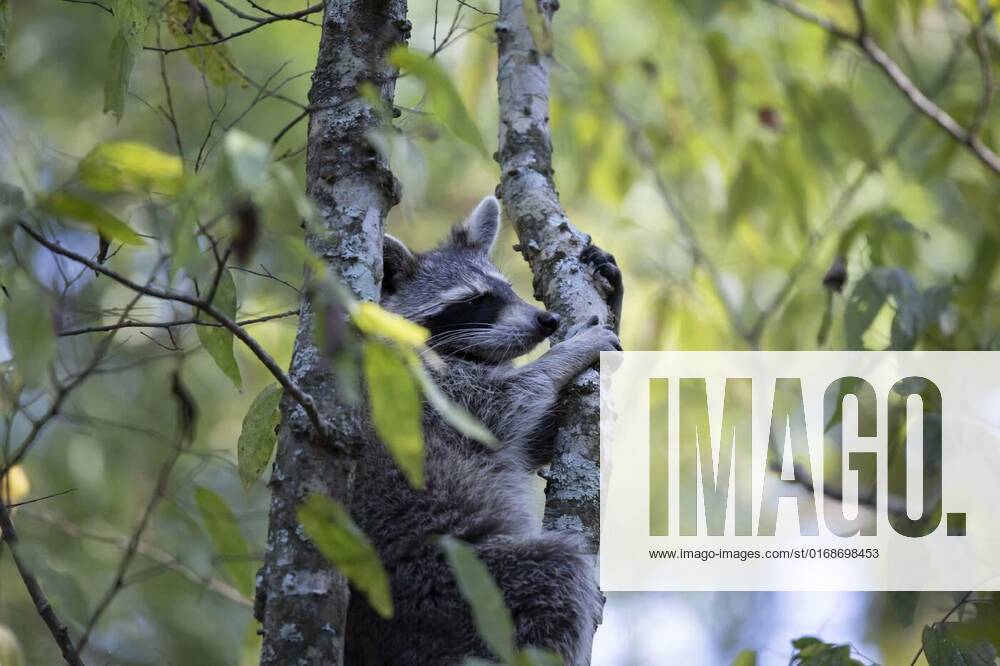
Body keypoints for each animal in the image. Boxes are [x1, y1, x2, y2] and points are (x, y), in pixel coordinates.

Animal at [348, 195, 620, 660]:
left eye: (508, 290)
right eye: (475, 301)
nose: (547, 321)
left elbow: (532, 439)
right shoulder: (424, 388)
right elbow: (504, 406)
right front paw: (570, 351)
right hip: (449, 585)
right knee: (555, 571)